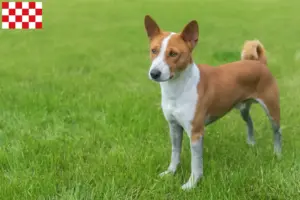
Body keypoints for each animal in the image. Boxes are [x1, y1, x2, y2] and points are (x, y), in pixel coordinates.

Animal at [143, 14, 282, 190]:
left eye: (173, 54)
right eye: (153, 50)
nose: (154, 73)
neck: (177, 90)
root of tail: (260, 63)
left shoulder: (196, 132)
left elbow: (196, 164)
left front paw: (191, 184)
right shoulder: (174, 126)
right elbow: (175, 153)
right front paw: (170, 173)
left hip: (272, 109)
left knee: (277, 132)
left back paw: (277, 154)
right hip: (243, 108)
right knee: (250, 122)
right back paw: (251, 143)